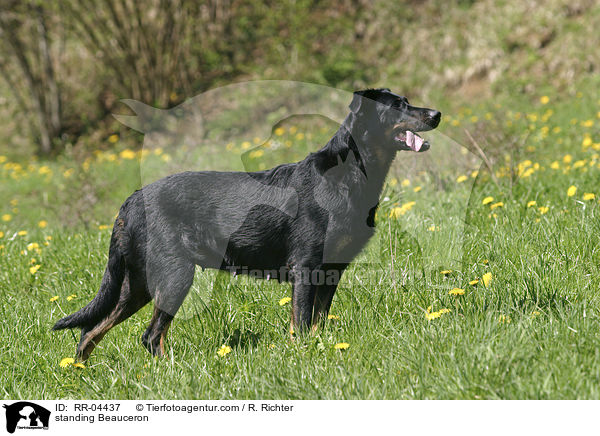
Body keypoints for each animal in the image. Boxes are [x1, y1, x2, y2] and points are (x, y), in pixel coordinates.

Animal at [54, 87, 440, 358]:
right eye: (398, 106)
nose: (436, 113)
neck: (350, 174)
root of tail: (131, 201)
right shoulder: (306, 266)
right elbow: (301, 324)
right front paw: (303, 358)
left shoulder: (332, 270)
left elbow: (317, 323)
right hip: (173, 275)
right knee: (150, 337)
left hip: (137, 284)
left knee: (90, 332)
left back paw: (80, 373)